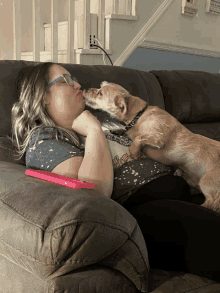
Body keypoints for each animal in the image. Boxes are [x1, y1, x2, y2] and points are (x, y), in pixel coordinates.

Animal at [82, 81, 220, 211]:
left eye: (101, 93)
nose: (85, 89)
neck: (138, 115)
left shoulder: (158, 137)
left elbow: (138, 138)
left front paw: (134, 151)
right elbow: (126, 131)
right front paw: (118, 130)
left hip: (207, 183)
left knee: (212, 204)